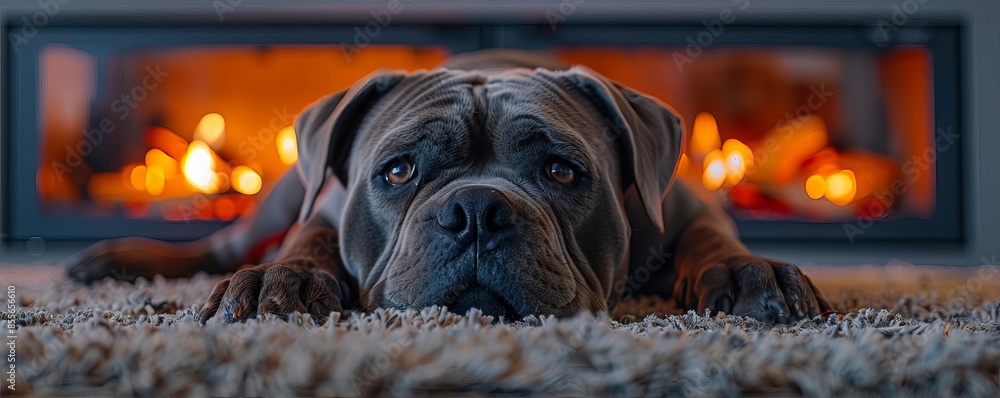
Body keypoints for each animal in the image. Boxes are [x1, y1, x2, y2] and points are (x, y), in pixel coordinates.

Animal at [66, 49, 832, 324]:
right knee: (226, 244)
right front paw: (281, 283)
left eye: (562, 171)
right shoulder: (326, 210)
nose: (476, 211)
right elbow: (309, 246)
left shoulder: (688, 205)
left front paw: (752, 274)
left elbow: (713, 240)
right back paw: (121, 260)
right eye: (399, 172)